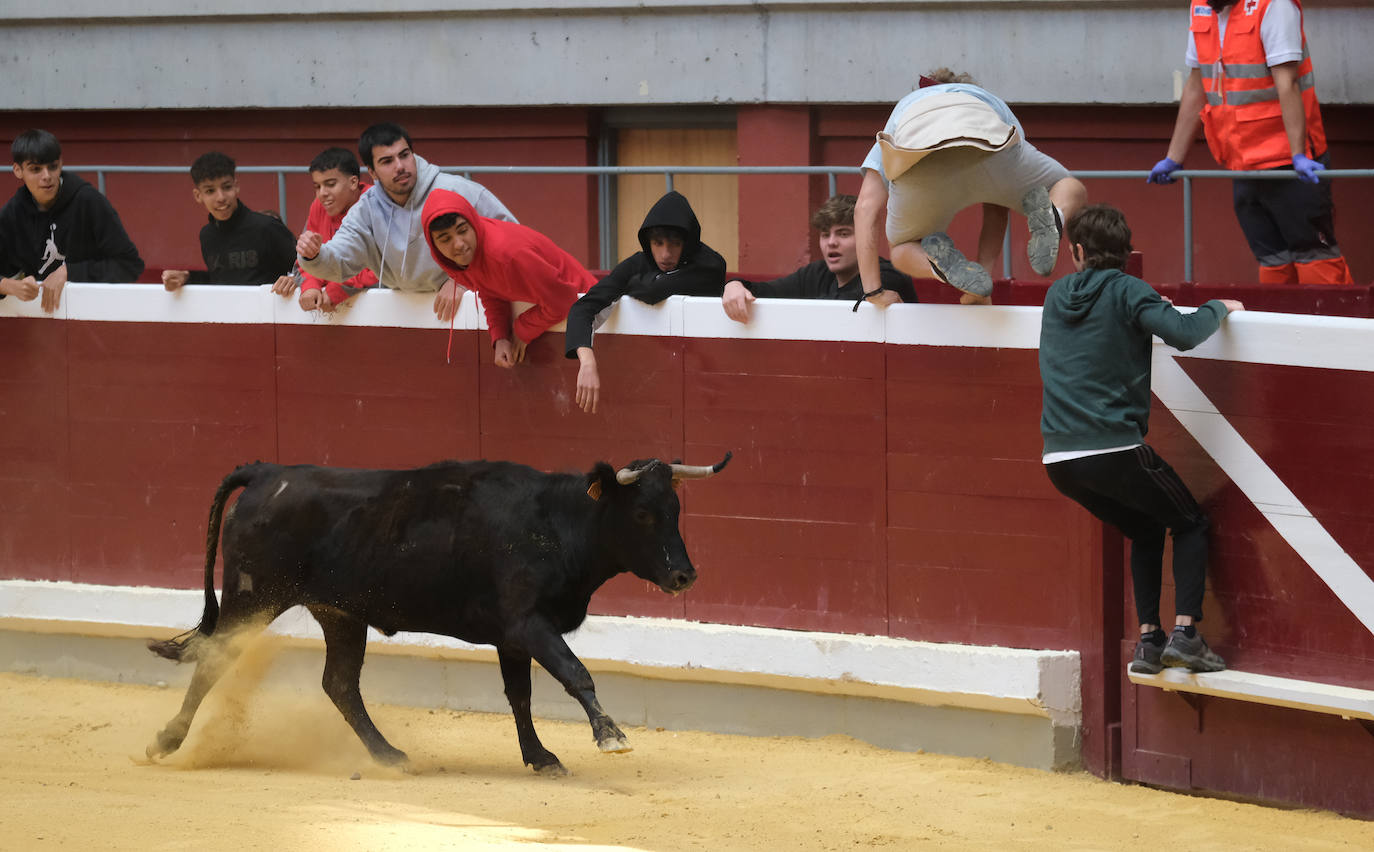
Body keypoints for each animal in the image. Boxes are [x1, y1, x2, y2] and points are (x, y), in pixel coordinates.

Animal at [144, 456, 730, 775]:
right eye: (643, 513)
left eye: (676, 509)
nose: (684, 576)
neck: (556, 521)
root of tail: (268, 472)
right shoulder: (528, 624)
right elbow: (575, 674)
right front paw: (610, 736)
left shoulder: (512, 638)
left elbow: (520, 695)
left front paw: (540, 756)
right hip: (252, 598)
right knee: (215, 660)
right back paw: (165, 741)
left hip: (340, 615)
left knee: (340, 684)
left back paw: (389, 755)